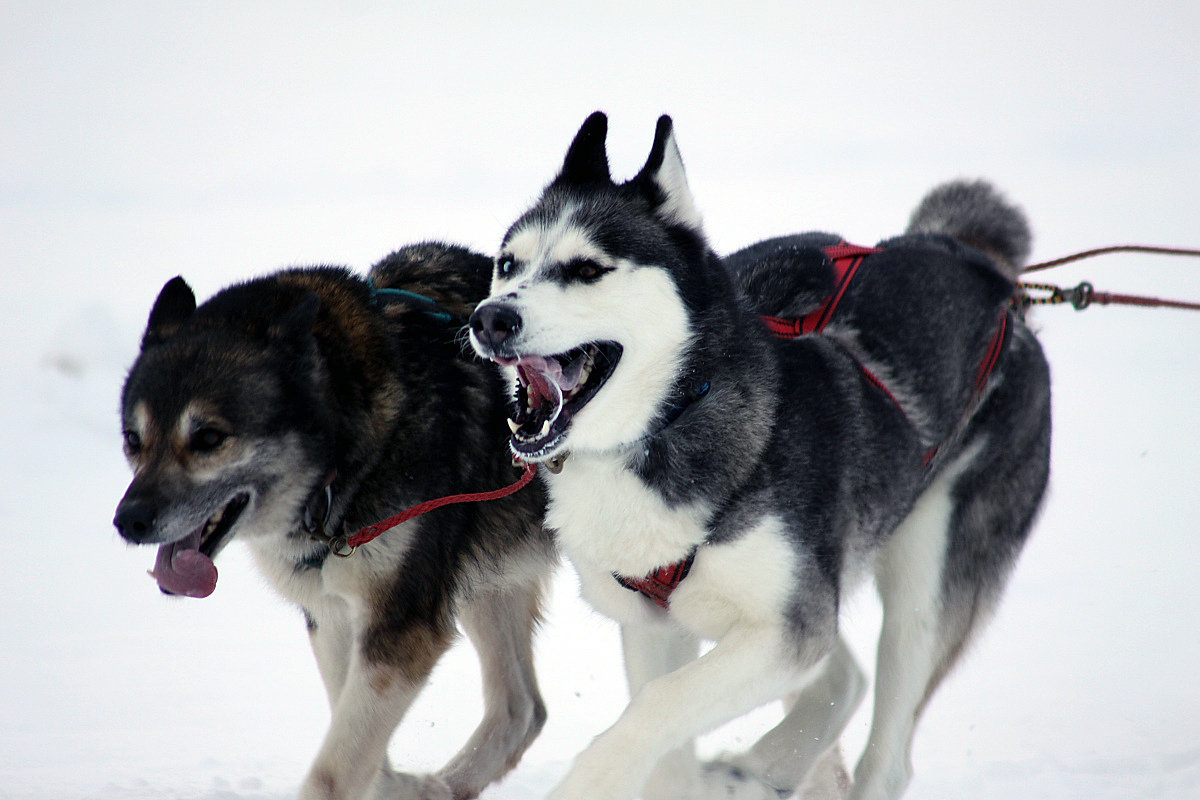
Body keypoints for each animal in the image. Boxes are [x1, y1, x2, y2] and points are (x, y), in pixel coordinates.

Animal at [114, 244, 554, 800]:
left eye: (209, 437)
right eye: (133, 439)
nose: (129, 520)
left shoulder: (401, 629)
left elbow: (333, 771)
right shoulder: (334, 617)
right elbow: (363, 753)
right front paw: (400, 785)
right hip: (487, 583)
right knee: (521, 711)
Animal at [468, 112, 1051, 800]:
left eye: (587, 269)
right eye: (509, 263)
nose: (490, 318)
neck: (672, 420)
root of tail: (979, 269)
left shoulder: (788, 630)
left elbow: (657, 707)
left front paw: (588, 782)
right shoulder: (657, 628)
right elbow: (665, 737)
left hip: (926, 582)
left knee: (888, 748)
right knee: (844, 677)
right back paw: (763, 767)